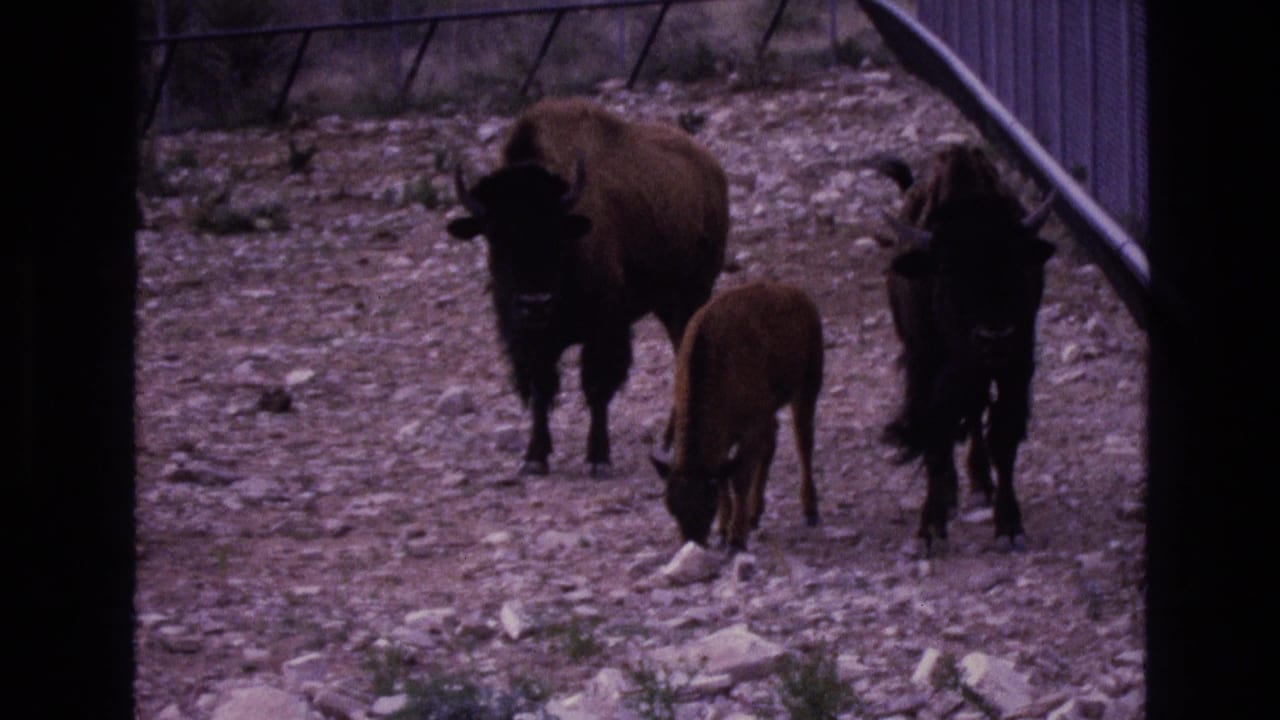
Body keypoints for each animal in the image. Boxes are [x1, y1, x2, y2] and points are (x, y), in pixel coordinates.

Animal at [447, 98, 729, 477]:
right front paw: (535, 457)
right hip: (667, 304)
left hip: (693, 295)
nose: (535, 302)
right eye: (494, 236)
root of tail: (711, 169)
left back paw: (673, 445)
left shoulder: (604, 330)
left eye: (557, 234)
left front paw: (598, 459)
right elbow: (541, 387)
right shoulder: (529, 337)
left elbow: (596, 388)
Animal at [650, 280, 824, 552]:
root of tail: (797, 294)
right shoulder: (727, 436)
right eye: (671, 508)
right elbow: (724, 478)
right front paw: (724, 529)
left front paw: (737, 538)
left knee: (803, 442)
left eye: (707, 507)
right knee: (772, 443)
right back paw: (755, 512)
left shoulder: (749, 429)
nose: (693, 543)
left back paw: (810, 509)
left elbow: (739, 478)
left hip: (807, 387)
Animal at [876, 144, 1056, 554]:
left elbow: (1003, 435)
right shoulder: (925, 367)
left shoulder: (1016, 364)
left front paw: (1009, 527)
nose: (994, 336)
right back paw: (952, 493)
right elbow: (936, 434)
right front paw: (930, 529)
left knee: (974, 415)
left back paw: (979, 486)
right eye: (946, 269)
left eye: (1016, 262)